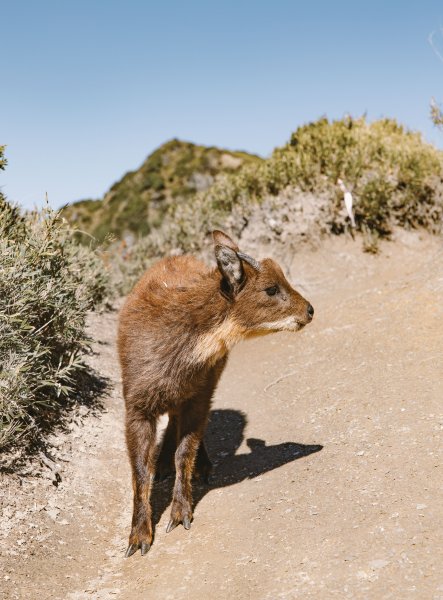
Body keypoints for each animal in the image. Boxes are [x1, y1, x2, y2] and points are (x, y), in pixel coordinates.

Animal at [116, 231, 314, 556]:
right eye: (270, 288)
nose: (309, 310)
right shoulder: (136, 405)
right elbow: (140, 471)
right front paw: (138, 538)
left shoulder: (200, 392)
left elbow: (184, 452)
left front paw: (179, 514)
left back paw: (200, 466)